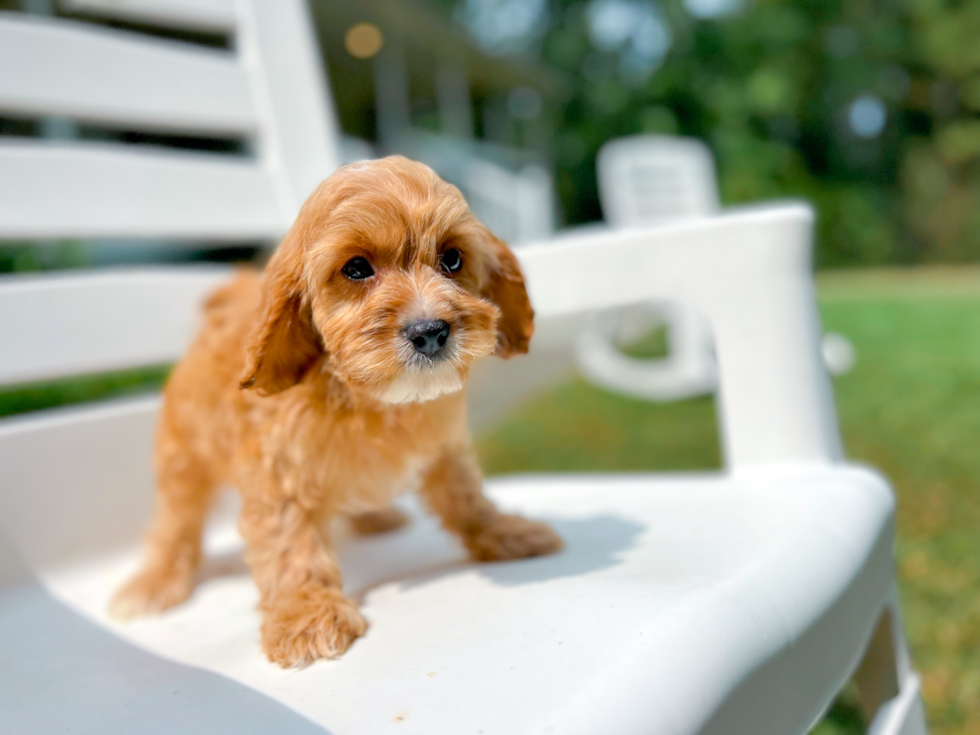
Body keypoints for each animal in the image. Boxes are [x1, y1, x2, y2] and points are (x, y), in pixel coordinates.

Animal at [108, 158, 564, 668]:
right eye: (357, 268)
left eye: (452, 258)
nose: (429, 331)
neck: (375, 399)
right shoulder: (280, 473)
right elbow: (290, 545)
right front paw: (305, 614)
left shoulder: (445, 446)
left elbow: (466, 498)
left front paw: (505, 533)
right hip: (182, 456)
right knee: (176, 522)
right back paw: (155, 581)